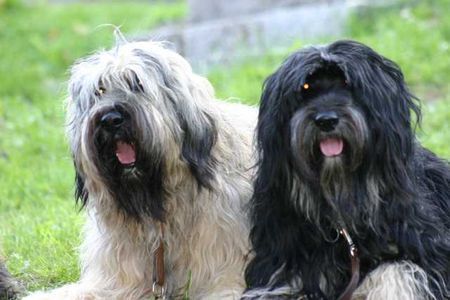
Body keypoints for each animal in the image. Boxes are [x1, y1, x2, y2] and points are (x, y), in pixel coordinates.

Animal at [244, 40, 448, 300]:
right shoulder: (283, 269)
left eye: (347, 84)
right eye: (305, 88)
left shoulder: (429, 253)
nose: (326, 120)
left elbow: (396, 271)